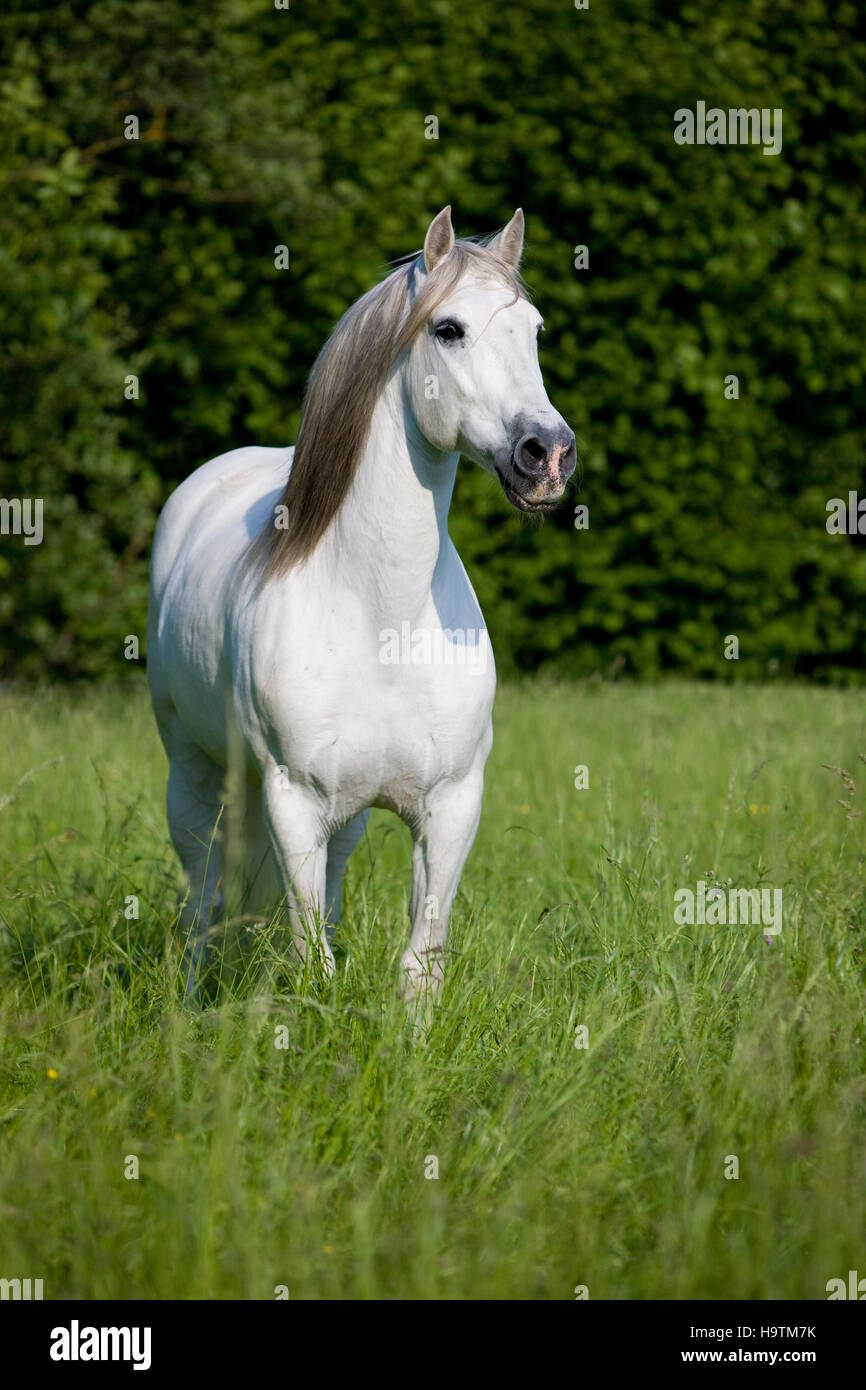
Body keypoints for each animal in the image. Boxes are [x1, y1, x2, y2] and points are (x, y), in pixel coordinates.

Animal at [147, 205, 575, 1011]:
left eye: (534, 330)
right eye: (448, 329)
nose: (548, 455)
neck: (385, 620)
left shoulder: (451, 805)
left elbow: (419, 962)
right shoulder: (293, 803)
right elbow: (311, 957)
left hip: (339, 820)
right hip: (194, 777)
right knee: (202, 903)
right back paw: (185, 1009)